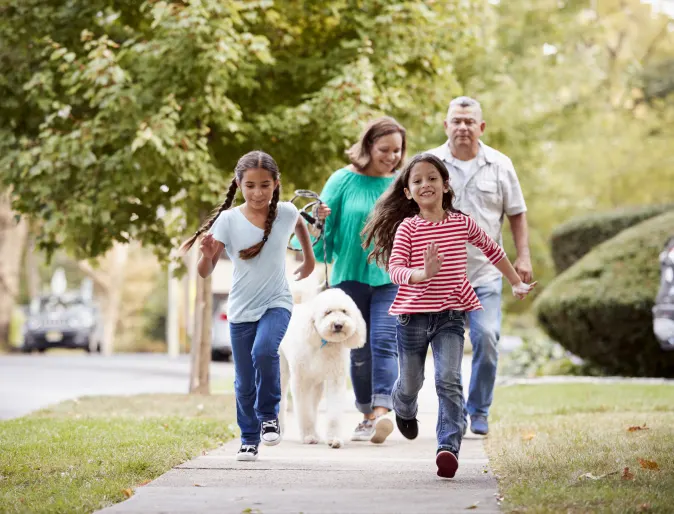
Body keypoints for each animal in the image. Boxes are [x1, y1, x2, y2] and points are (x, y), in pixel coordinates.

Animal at [276, 286, 364, 446]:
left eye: (344, 311)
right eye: (328, 312)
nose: (338, 325)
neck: (324, 343)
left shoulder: (335, 380)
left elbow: (333, 412)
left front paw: (333, 438)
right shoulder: (301, 380)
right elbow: (304, 411)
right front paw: (308, 436)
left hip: (317, 384)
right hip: (281, 369)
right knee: (281, 398)